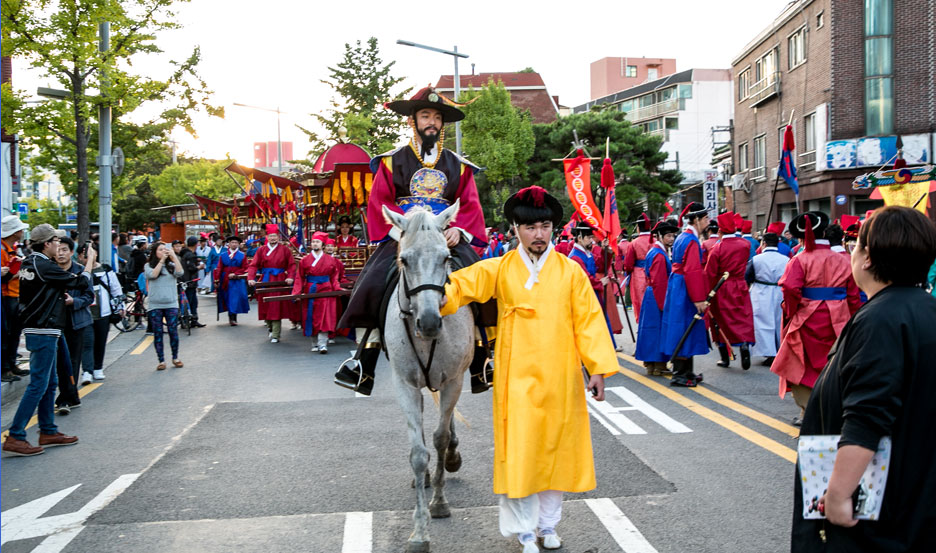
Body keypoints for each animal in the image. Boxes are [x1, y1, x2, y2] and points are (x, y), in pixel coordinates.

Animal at [382, 203, 476, 552]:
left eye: (446, 257)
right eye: (404, 260)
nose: (430, 322)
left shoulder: (453, 381)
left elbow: (440, 438)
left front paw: (438, 502)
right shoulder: (404, 385)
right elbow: (419, 453)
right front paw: (419, 531)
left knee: (445, 428)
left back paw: (451, 459)